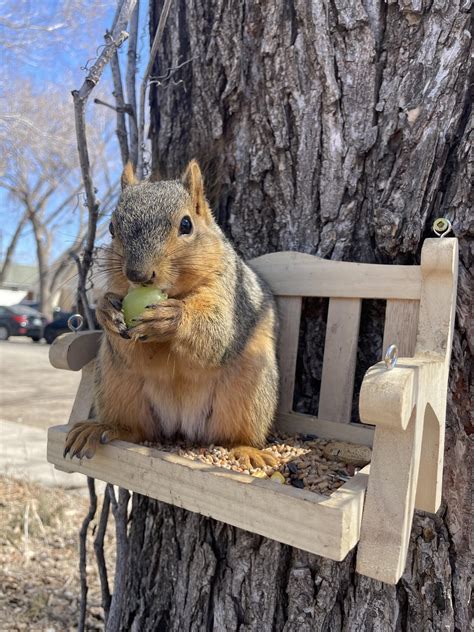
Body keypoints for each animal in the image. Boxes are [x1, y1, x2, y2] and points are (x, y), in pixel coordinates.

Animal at [63, 162, 280, 470]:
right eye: (112, 227)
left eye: (186, 224)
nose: (137, 274)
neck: (176, 293)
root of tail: (181, 423)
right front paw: (106, 309)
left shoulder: (230, 294)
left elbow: (219, 334)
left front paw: (172, 319)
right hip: (117, 383)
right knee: (136, 429)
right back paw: (103, 428)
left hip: (250, 386)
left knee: (233, 435)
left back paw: (247, 449)